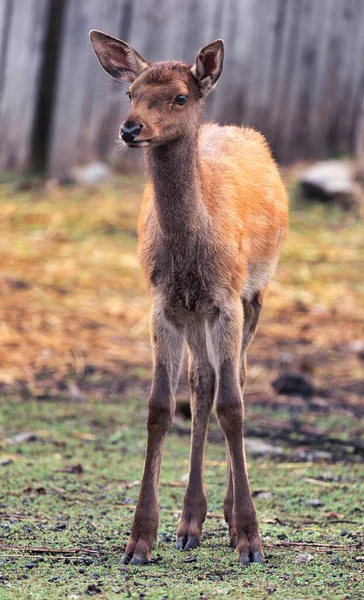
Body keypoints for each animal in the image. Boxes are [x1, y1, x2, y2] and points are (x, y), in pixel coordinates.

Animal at [90, 30, 288, 568]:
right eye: (130, 91)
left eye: (180, 97)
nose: (130, 129)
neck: (190, 251)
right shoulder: (163, 302)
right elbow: (161, 406)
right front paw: (140, 540)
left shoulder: (228, 297)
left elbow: (234, 406)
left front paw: (250, 539)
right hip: (195, 313)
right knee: (202, 384)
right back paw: (190, 522)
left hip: (255, 293)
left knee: (236, 378)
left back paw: (224, 516)